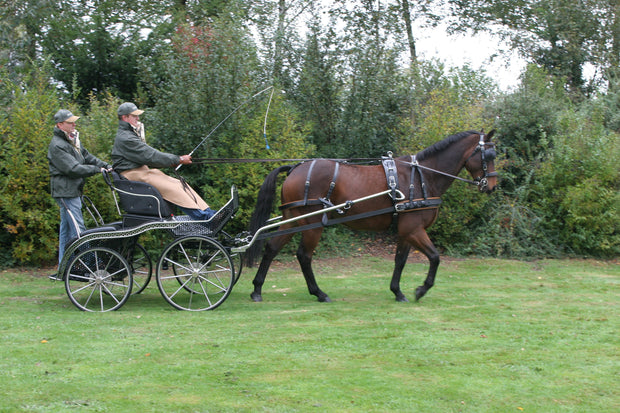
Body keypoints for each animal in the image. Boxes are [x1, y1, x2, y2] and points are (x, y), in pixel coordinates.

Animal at [243, 130, 498, 302]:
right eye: (488, 154)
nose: (492, 186)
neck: (422, 177)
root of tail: (296, 168)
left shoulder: (405, 231)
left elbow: (400, 260)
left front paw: (397, 291)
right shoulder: (414, 229)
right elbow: (435, 257)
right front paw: (421, 290)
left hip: (294, 219)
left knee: (271, 248)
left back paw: (257, 289)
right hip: (313, 223)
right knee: (304, 256)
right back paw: (319, 293)